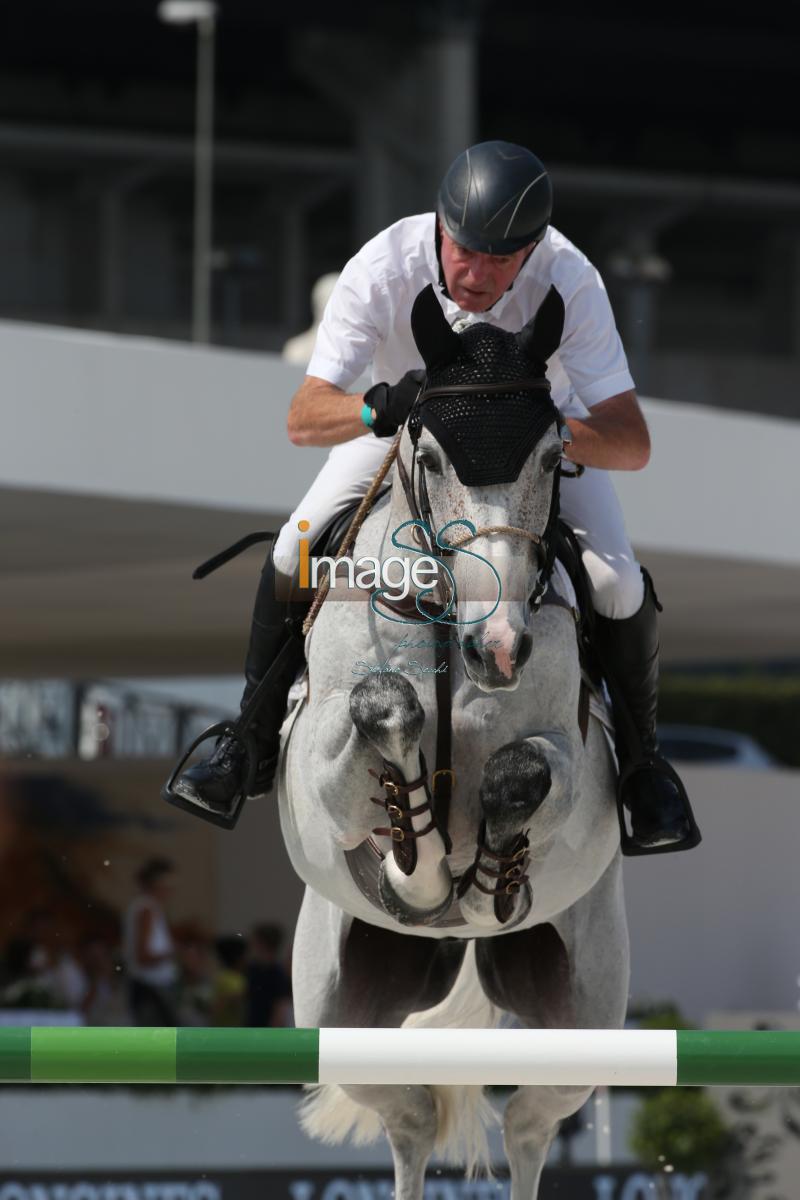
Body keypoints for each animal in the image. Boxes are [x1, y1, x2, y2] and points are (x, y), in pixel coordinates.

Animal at [278, 288, 628, 1200]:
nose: (499, 648)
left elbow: (520, 771)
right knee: (408, 1116)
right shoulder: (322, 773)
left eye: (554, 457)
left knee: (530, 1123)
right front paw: (422, 860)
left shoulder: (574, 766)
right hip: (335, 1009)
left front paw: (482, 876)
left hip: (585, 1008)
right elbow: (384, 706)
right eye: (431, 457)